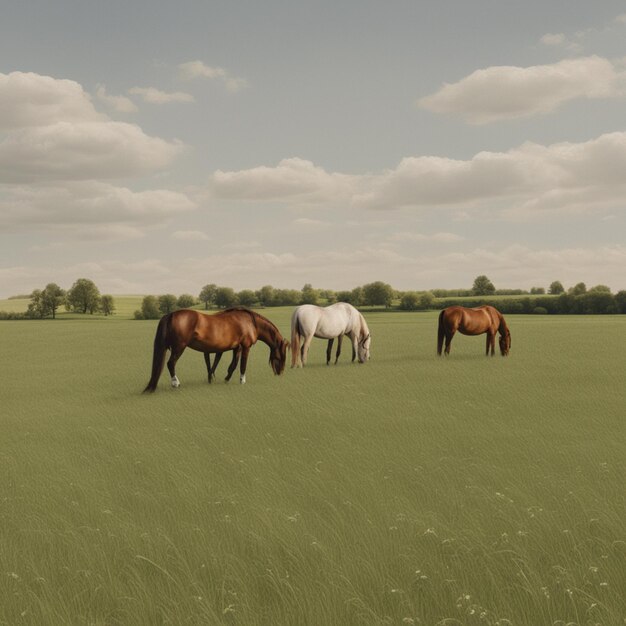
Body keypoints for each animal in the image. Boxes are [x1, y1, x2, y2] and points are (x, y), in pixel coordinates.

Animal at [143, 306, 288, 390]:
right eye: (281, 356)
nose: (280, 373)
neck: (250, 322)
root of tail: (171, 314)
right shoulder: (245, 346)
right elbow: (242, 365)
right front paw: (242, 381)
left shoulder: (236, 348)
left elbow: (232, 366)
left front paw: (225, 379)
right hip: (179, 347)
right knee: (170, 363)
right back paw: (175, 383)